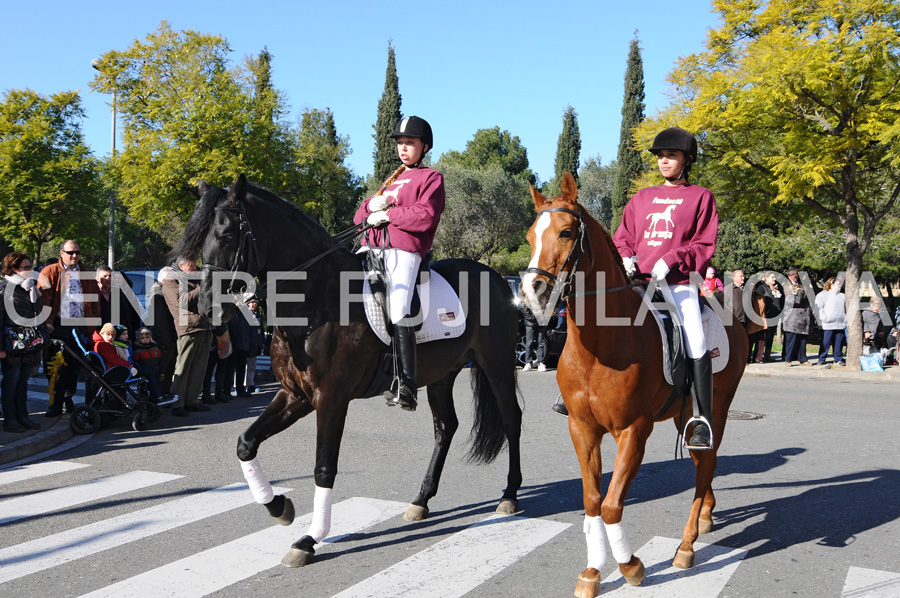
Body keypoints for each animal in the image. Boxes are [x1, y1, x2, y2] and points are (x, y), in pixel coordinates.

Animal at [173, 176, 524, 568]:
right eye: (199, 241)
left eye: (227, 235)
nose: (206, 309)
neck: (318, 299)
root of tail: (496, 277)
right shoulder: (295, 395)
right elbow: (246, 443)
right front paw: (279, 507)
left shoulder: (331, 398)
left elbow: (324, 467)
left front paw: (309, 538)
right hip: (440, 375)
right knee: (445, 428)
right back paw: (420, 501)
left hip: (496, 364)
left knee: (511, 419)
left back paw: (509, 495)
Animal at [520, 171, 744, 596]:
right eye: (528, 236)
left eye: (567, 232)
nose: (531, 294)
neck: (600, 347)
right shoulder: (582, 429)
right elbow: (593, 501)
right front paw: (593, 572)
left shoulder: (632, 432)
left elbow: (611, 505)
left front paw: (630, 566)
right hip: (683, 416)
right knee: (705, 467)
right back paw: (707, 515)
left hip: (715, 410)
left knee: (706, 464)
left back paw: (687, 545)